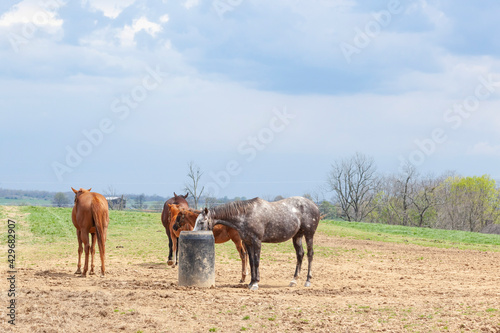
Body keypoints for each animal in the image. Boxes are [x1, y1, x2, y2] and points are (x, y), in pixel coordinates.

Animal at [193, 196, 322, 290]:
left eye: (201, 222)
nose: (193, 233)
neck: (246, 215)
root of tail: (314, 205)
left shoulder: (257, 242)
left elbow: (256, 262)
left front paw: (255, 283)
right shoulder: (248, 243)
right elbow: (251, 262)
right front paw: (251, 282)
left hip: (309, 235)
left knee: (310, 254)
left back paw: (307, 281)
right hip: (297, 236)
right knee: (300, 255)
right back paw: (294, 280)